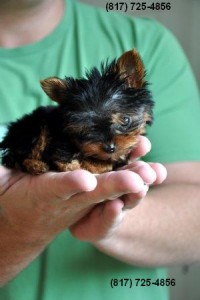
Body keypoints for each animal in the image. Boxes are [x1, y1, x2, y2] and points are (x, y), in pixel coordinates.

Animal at [0, 49, 153, 175]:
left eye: (125, 120)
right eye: (85, 128)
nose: (110, 148)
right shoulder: (58, 143)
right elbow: (64, 157)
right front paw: (76, 163)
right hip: (34, 130)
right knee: (19, 158)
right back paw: (36, 165)